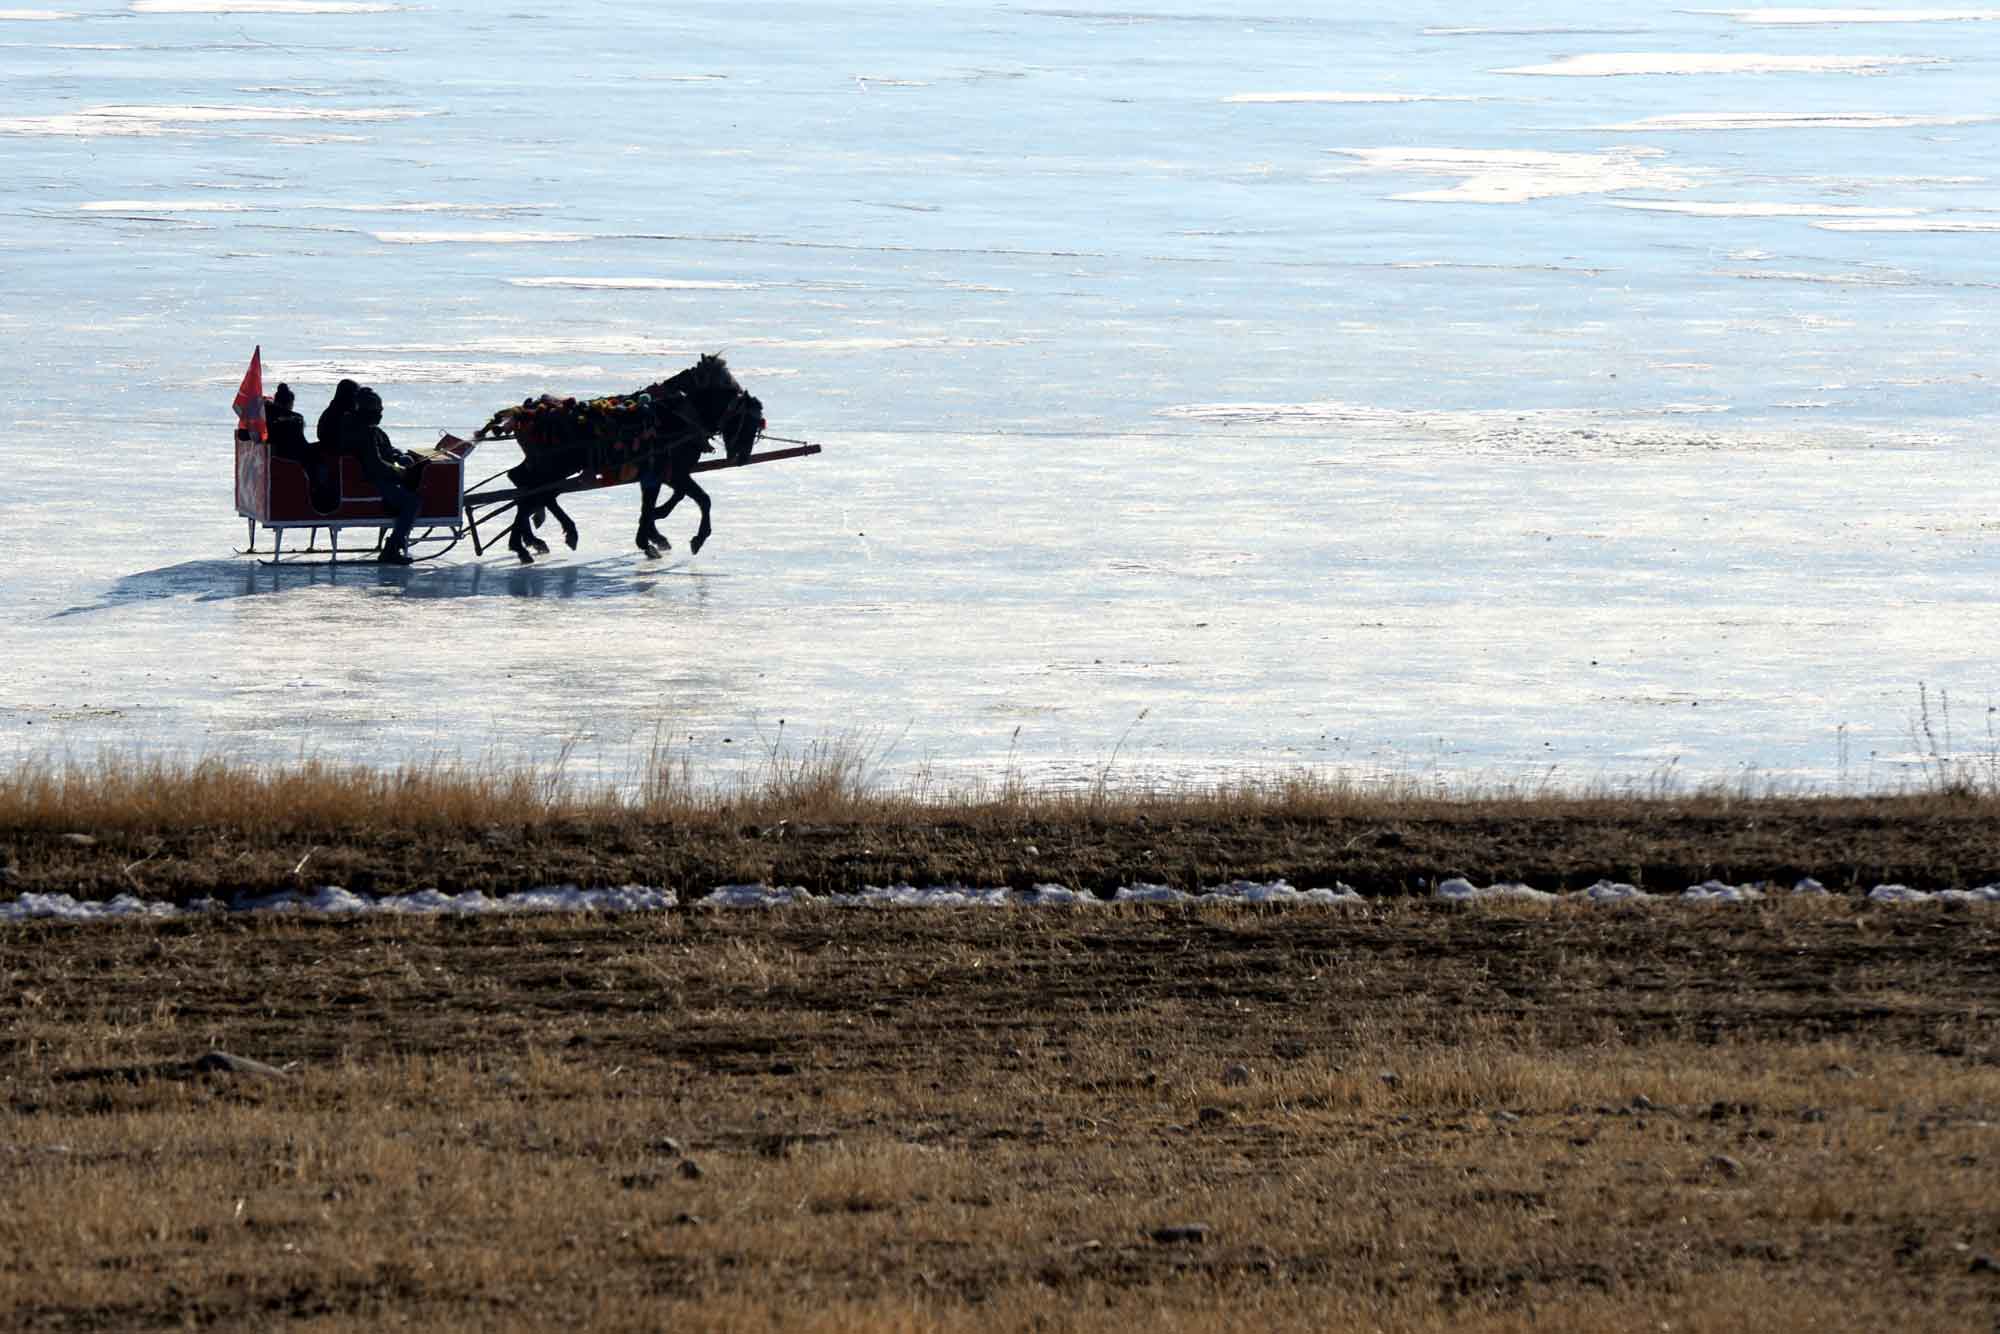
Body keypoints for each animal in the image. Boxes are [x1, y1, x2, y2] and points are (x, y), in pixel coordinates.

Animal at [491, 355, 764, 565]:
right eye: (748, 422)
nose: (743, 457)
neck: (678, 415)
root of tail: (522, 414)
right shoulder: (668, 471)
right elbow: (699, 500)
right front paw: (671, 538)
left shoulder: (665, 472)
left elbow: (666, 500)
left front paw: (654, 531)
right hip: (554, 466)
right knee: (529, 493)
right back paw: (525, 545)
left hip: (552, 466)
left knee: (530, 488)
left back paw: (540, 538)